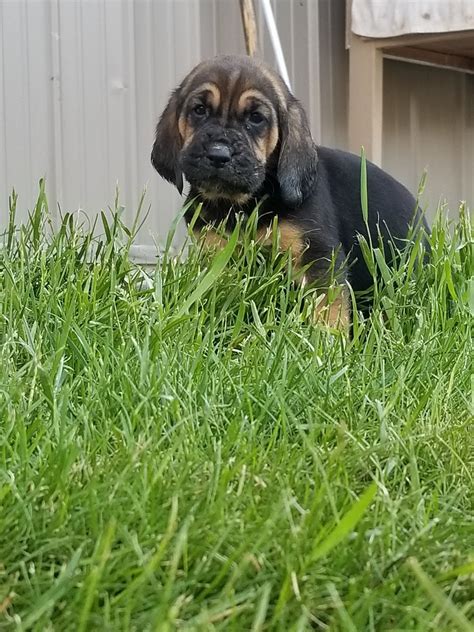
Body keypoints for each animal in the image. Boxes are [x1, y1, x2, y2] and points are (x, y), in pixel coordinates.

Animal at [153, 55, 430, 328]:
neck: (244, 203)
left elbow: (328, 309)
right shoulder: (216, 251)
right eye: (199, 110)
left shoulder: (318, 255)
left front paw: (327, 339)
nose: (218, 154)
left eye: (256, 118)